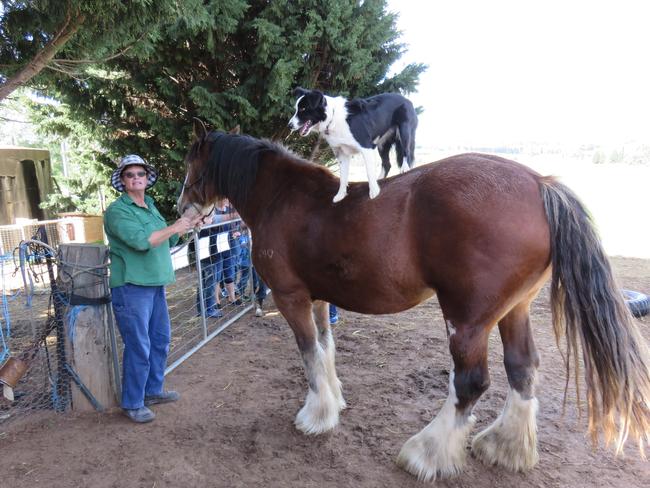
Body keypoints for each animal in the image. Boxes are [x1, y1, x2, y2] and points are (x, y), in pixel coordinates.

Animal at [177, 130, 648, 480]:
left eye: (191, 166)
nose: (182, 208)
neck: (284, 198)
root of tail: (540, 184)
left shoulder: (290, 298)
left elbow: (310, 356)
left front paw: (316, 415)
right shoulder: (319, 298)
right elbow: (327, 350)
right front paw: (335, 400)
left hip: (467, 320)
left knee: (470, 383)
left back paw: (426, 453)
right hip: (513, 312)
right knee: (522, 370)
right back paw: (504, 447)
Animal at [288, 87, 416, 202]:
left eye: (303, 108)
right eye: (297, 109)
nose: (289, 125)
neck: (332, 118)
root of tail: (406, 99)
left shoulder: (366, 147)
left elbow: (369, 172)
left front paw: (374, 192)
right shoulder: (341, 153)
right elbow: (343, 177)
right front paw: (340, 195)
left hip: (404, 131)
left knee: (406, 152)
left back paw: (404, 169)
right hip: (382, 144)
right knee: (387, 164)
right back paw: (380, 180)